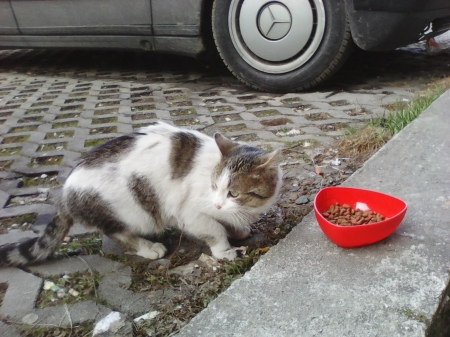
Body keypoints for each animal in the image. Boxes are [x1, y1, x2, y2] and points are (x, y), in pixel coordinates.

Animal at [0, 121, 282, 266]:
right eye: (214, 186)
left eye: (233, 193)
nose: (219, 204)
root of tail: (65, 191)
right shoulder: (189, 212)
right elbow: (213, 229)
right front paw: (224, 249)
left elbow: (227, 222)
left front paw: (238, 229)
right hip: (131, 211)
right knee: (118, 233)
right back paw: (148, 247)